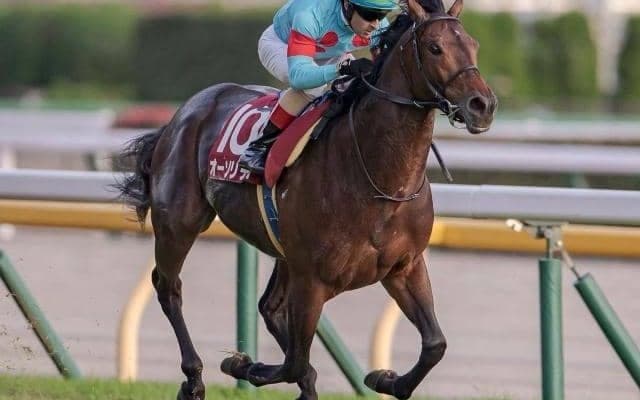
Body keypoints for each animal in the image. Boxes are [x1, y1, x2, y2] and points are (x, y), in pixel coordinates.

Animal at [117, 0, 496, 399]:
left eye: (473, 45)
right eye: (435, 48)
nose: (482, 105)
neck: (379, 180)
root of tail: (186, 110)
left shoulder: (403, 267)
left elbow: (435, 344)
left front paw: (384, 378)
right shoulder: (313, 278)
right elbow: (295, 361)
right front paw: (243, 365)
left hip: (284, 251)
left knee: (269, 308)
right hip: (180, 222)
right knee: (169, 287)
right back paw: (193, 379)